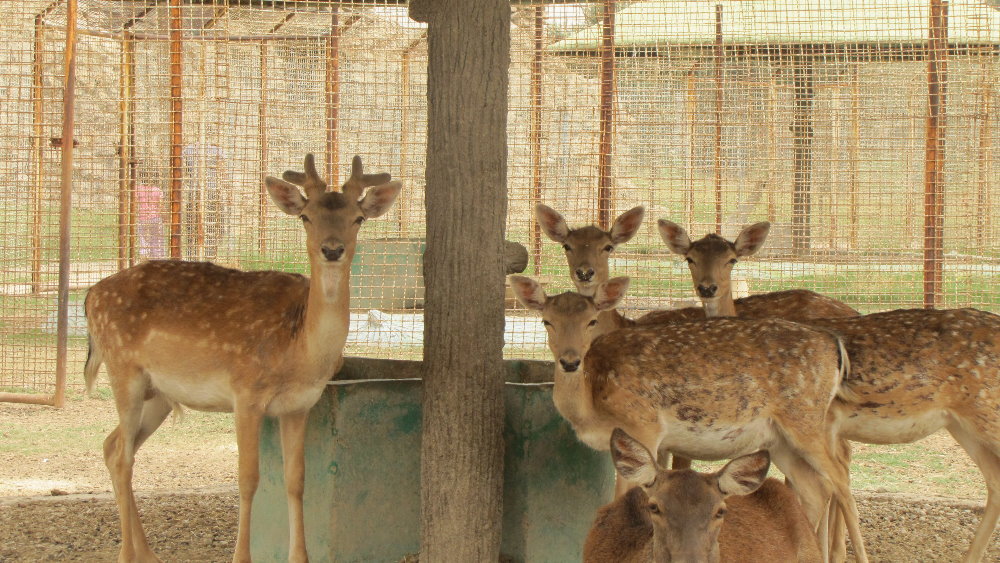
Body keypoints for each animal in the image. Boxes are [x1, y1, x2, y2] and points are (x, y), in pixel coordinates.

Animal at [83, 154, 400, 563]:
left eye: (358, 217)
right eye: (306, 216)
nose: (332, 249)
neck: (299, 351)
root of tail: (90, 295)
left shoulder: (299, 406)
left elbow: (296, 480)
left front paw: (300, 557)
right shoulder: (245, 392)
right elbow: (248, 478)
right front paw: (241, 556)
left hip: (160, 394)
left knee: (112, 447)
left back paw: (148, 554)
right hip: (123, 369)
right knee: (123, 456)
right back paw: (128, 555)